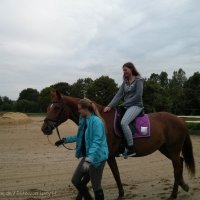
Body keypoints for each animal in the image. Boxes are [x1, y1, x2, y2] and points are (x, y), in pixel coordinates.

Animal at [41, 93, 195, 199]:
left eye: (57, 107)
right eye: (48, 107)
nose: (45, 128)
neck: (101, 120)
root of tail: (180, 120)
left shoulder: (105, 157)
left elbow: (108, 176)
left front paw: (120, 194)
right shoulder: (106, 157)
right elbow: (111, 175)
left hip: (172, 149)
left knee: (177, 167)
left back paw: (175, 193)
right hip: (165, 149)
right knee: (180, 162)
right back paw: (182, 187)